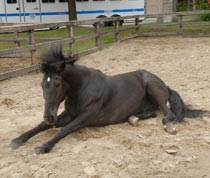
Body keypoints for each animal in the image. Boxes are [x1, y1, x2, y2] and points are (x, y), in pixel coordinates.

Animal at [9, 46, 207, 154]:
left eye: (57, 83)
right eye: (42, 84)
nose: (49, 116)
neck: (81, 90)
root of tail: (165, 84)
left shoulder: (84, 117)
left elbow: (65, 129)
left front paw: (41, 148)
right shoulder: (67, 114)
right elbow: (41, 126)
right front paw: (17, 141)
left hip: (154, 89)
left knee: (168, 113)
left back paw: (169, 127)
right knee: (150, 113)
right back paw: (133, 119)